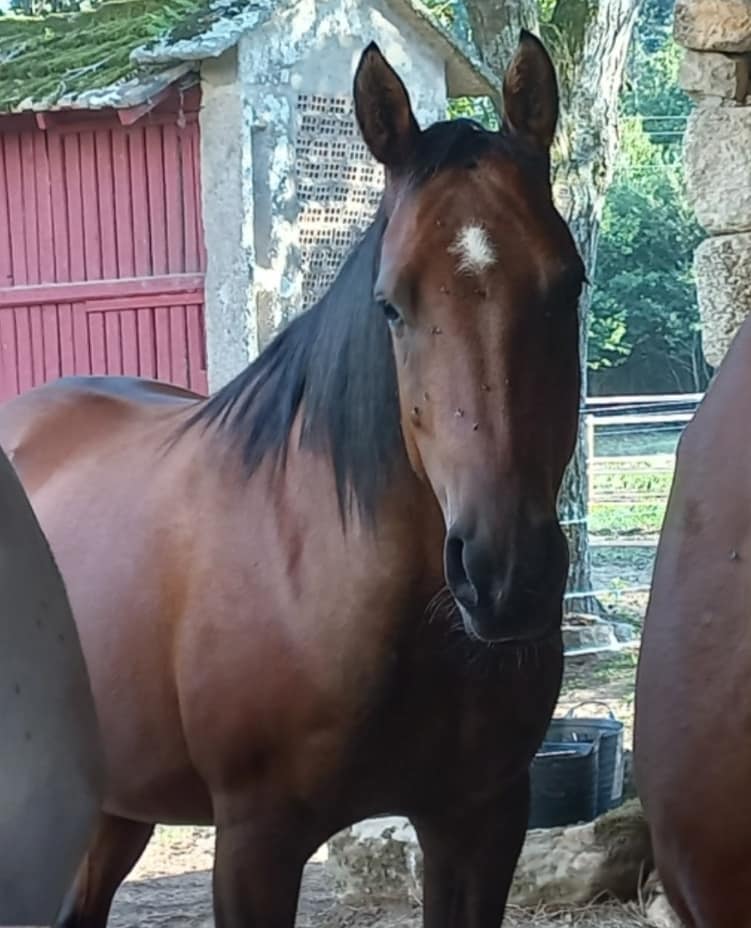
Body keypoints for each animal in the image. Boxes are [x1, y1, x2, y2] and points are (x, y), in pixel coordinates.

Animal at [0, 32, 585, 928]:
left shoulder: (479, 821)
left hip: (114, 802)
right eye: (390, 304)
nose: (503, 575)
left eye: (569, 284)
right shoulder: (255, 843)